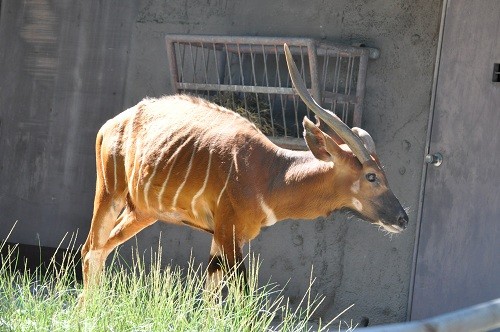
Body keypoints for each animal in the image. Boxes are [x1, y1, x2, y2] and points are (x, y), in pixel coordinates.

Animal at [81, 43, 406, 296]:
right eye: (372, 176)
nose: (403, 218)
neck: (271, 174)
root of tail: (111, 124)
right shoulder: (229, 233)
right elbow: (241, 296)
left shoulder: (223, 237)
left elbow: (211, 295)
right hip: (109, 193)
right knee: (90, 250)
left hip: (141, 212)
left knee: (102, 250)